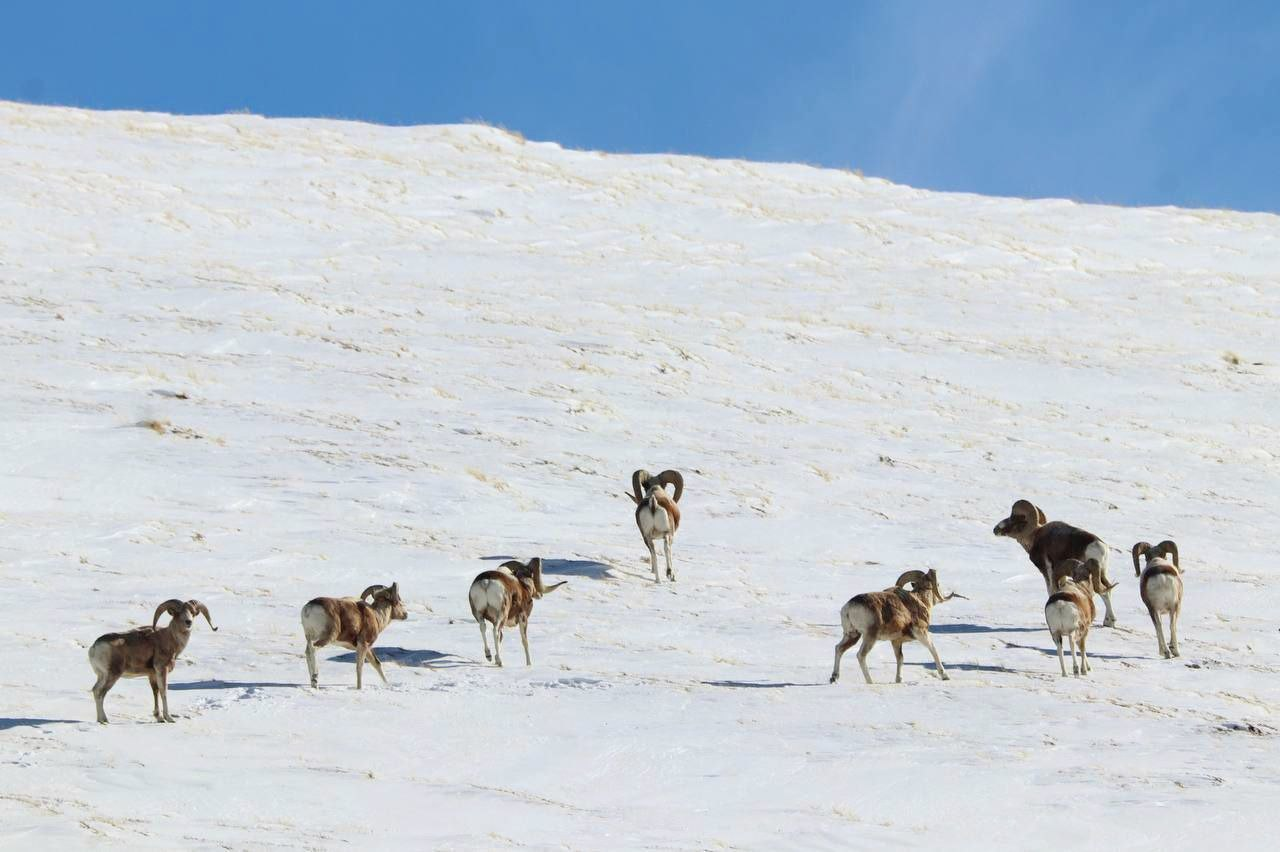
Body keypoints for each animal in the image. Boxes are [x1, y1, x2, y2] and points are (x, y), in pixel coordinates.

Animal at [88, 596, 216, 721]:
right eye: (178, 612)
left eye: (192, 612)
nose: (188, 622)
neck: (171, 639)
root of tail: (94, 648)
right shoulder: (162, 670)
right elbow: (163, 691)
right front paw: (168, 718)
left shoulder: (152, 675)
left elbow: (155, 692)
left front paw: (158, 717)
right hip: (112, 675)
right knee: (100, 693)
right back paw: (104, 720)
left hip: (102, 676)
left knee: (95, 690)